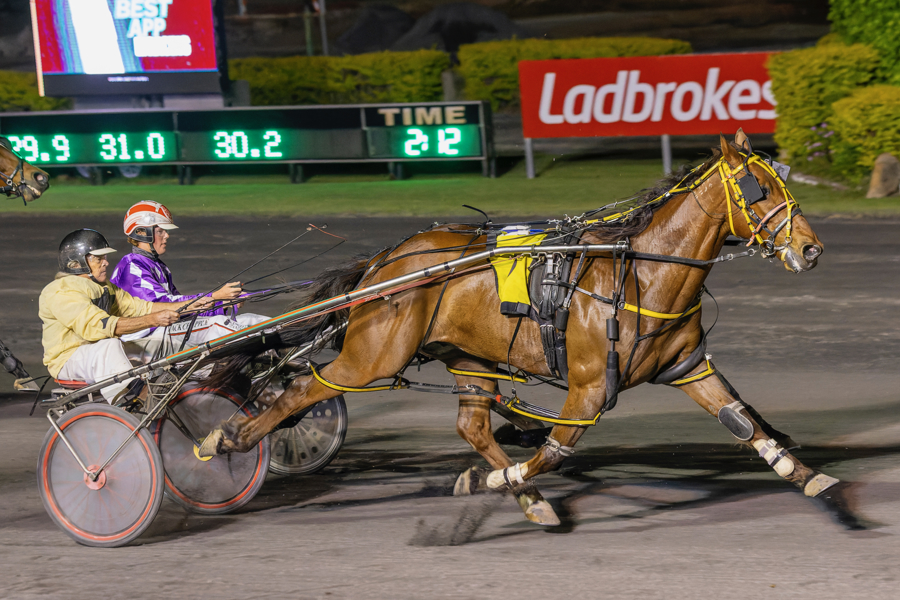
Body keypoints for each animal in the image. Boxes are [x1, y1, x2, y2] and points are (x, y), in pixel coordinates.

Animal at [199, 130, 838, 526]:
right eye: (760, 189)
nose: (811, 248)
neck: (641, 272)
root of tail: (386, 261)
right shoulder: (589, 386)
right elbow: (555, 450)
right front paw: (489, 482)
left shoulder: (686, 367)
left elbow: (742, 420)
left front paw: (811, 478)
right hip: (372, 356)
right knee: (302, 391)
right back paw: (226, 438)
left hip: (469, 355)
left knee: (471, 424)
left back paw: (526, 496)